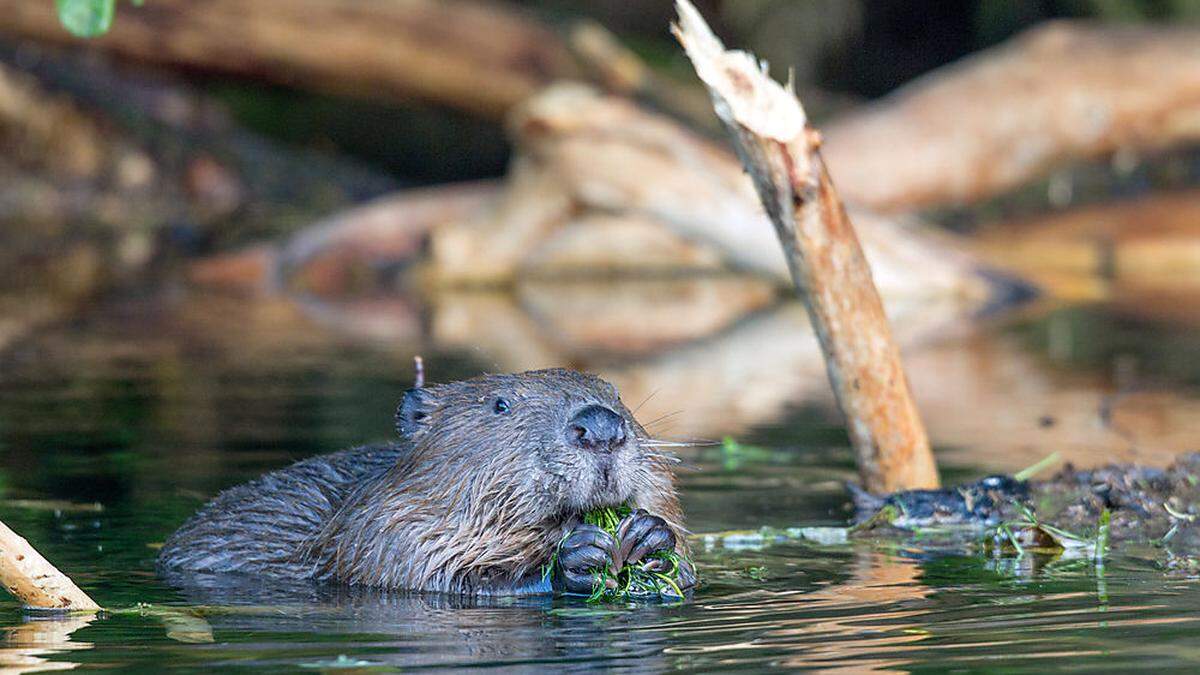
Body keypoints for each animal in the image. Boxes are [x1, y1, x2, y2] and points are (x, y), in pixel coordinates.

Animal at [162, 367, 700, 593]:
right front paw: (579, 555)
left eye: (615, 392)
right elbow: (451, 582)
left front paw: (650, 535)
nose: (602, 427)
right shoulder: (384, 533)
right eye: (500, 404)